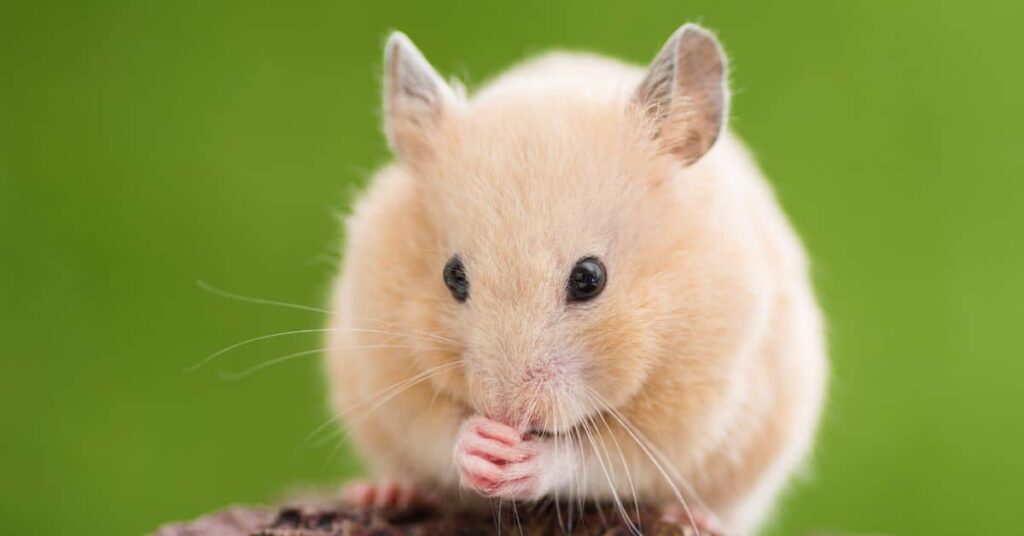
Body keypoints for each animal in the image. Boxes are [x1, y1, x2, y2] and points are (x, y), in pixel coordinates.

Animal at [324, 23, 827, 535]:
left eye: (590, 278)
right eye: (452, 276)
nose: (506, 413)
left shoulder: (691, 404)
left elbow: (591, 456)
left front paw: (524, 459)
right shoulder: (385, 370)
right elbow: (436, 432)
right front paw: (482, 444)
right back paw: (382, 492)